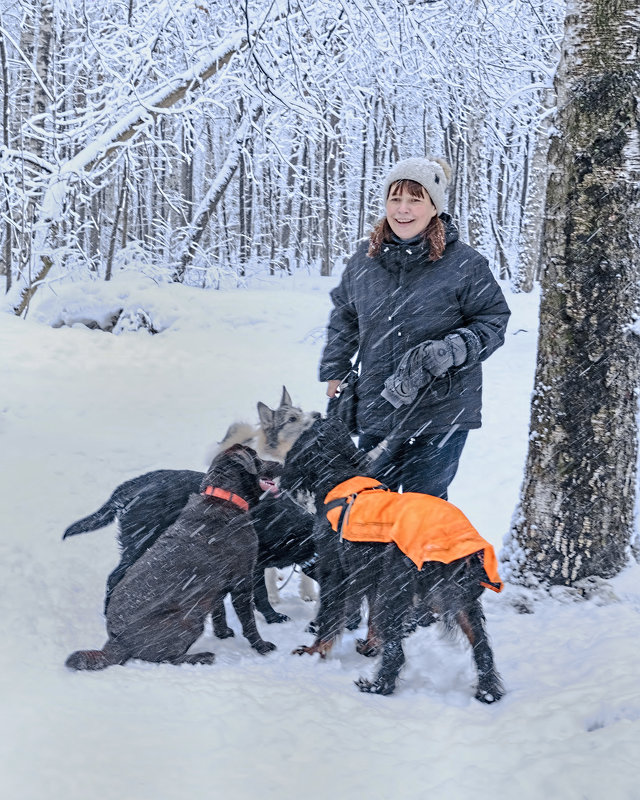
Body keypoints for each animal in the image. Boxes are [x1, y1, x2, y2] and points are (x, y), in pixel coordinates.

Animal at [62, 468, 318, 624]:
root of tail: (133, 485)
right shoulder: (253, 566)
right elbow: (262, 594)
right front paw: (273, 617)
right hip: (140, 545)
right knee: (114, 577)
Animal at [64, 444, 280, 668]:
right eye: (257, 459)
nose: (280, 464)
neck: (223, 497)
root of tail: (116, 643)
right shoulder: (243, 580)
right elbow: (249, 621)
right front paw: (261, 646)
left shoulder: (217, 585)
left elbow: (219, 610)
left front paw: (223, 632)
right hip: (189, 617)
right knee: (163, 658)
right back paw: (201, 657)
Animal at [280, 416, 504, 704]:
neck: (339, 477)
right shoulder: (372, 576)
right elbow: (372, 619)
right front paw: (370, 645)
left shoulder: (337, 572)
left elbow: (329, 615)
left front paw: (314, 651)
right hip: (461, 601)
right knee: (483, 648)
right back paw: (488, 691)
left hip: (399, 590)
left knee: (397, 653)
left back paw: (376, 686)